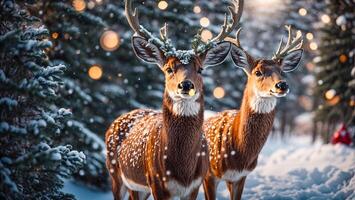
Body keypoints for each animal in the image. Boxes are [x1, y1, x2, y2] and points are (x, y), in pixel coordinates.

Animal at [105, 0, 243, 199]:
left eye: (200, 69)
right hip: (116, 174)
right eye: (168, 68)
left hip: (139, 186)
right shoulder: (157, 182)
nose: (185, 85)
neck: (182, 168)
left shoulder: (194, 185)